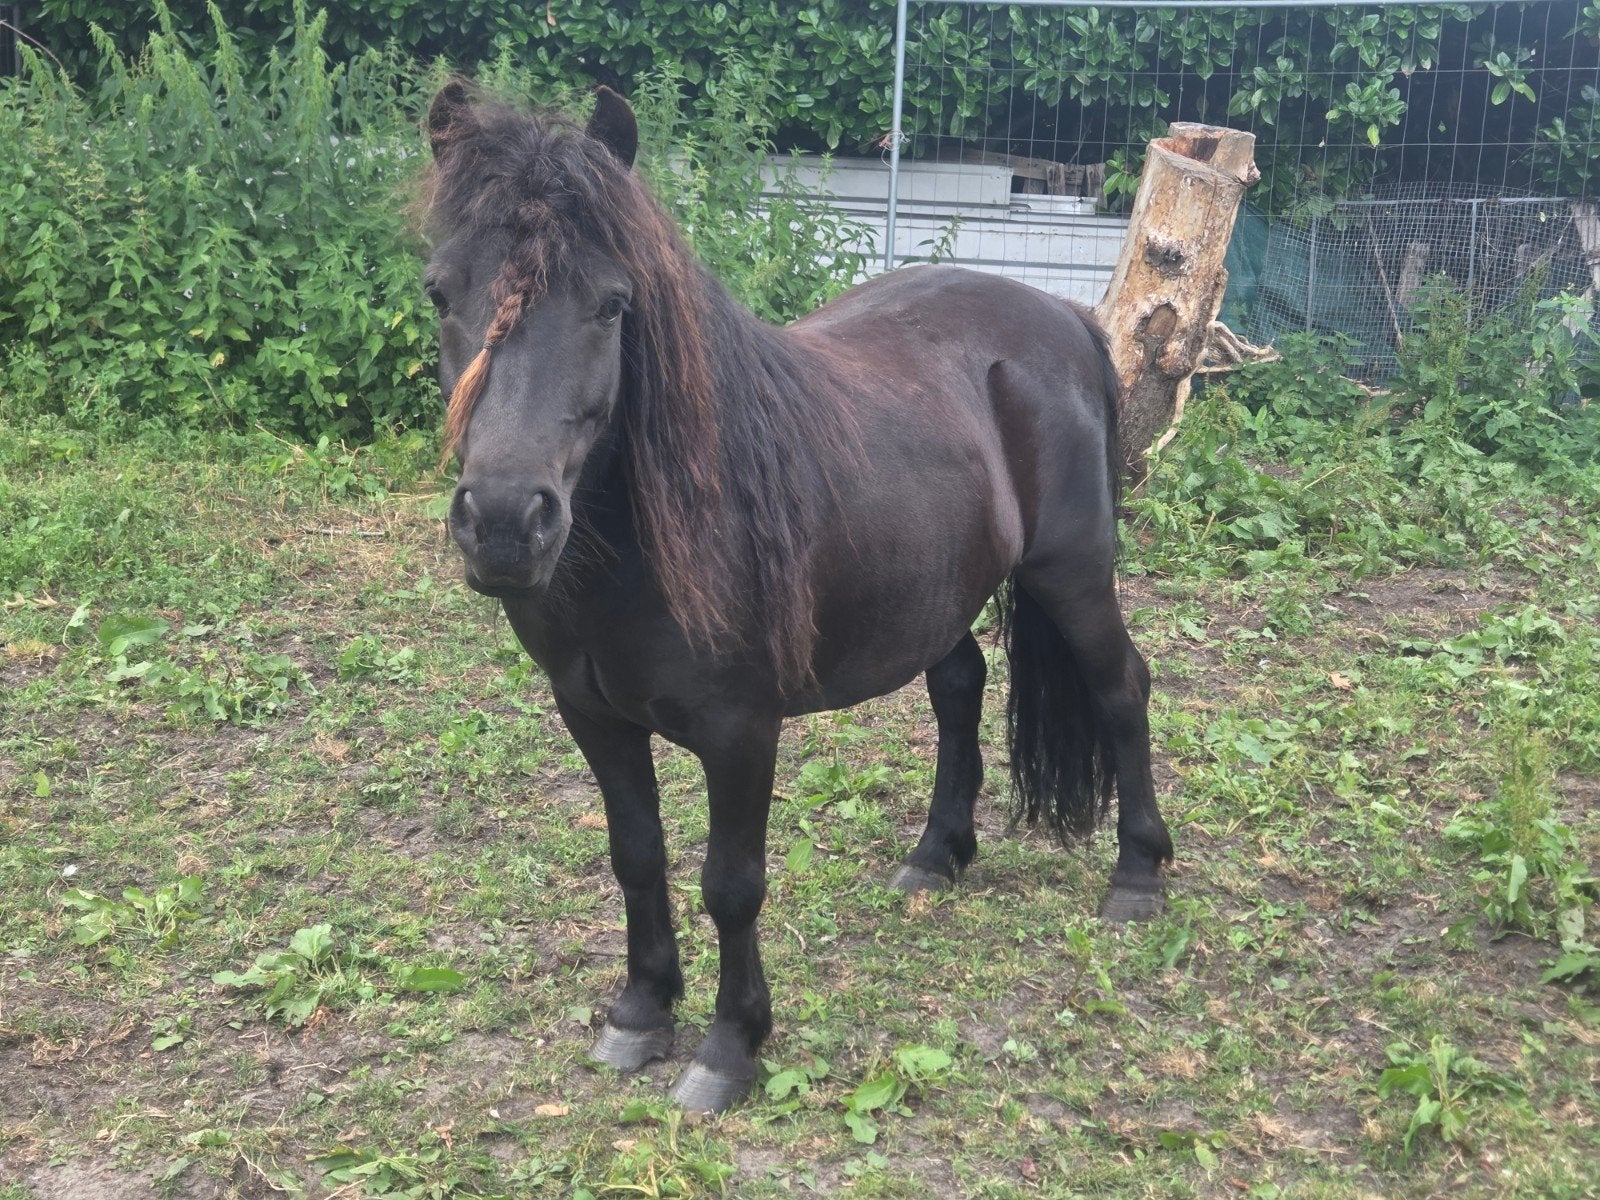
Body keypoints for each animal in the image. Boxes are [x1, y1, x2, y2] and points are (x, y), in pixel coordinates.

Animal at [416, 81, 1173, 1112]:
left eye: (612, 304)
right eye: (440, 291)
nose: (502, 521)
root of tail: (1064, 321)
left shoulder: (742, 729)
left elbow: (731, 882)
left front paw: (730, 1047)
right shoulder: (592, 715)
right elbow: (635, 854)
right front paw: (640, 1012)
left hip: (1073, 574)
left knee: (1121, 687)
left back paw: (1137, 875)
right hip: (935, 589)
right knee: (961, 687)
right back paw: (935, 855)